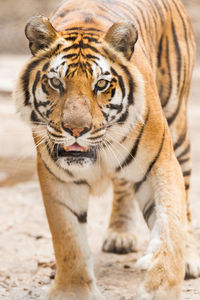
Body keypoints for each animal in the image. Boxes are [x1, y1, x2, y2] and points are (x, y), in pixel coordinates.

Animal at [13, 0, 199, 298]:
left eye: (100, 84)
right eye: (56, 83)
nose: (75, 129)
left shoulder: (160, 163)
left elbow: (171, 223)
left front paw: (160, 285)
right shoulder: (57, 177)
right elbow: (68, 239)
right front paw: (72, 290)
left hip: (178, 126)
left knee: (187, 204)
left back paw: (190, 259)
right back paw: (119, 234)